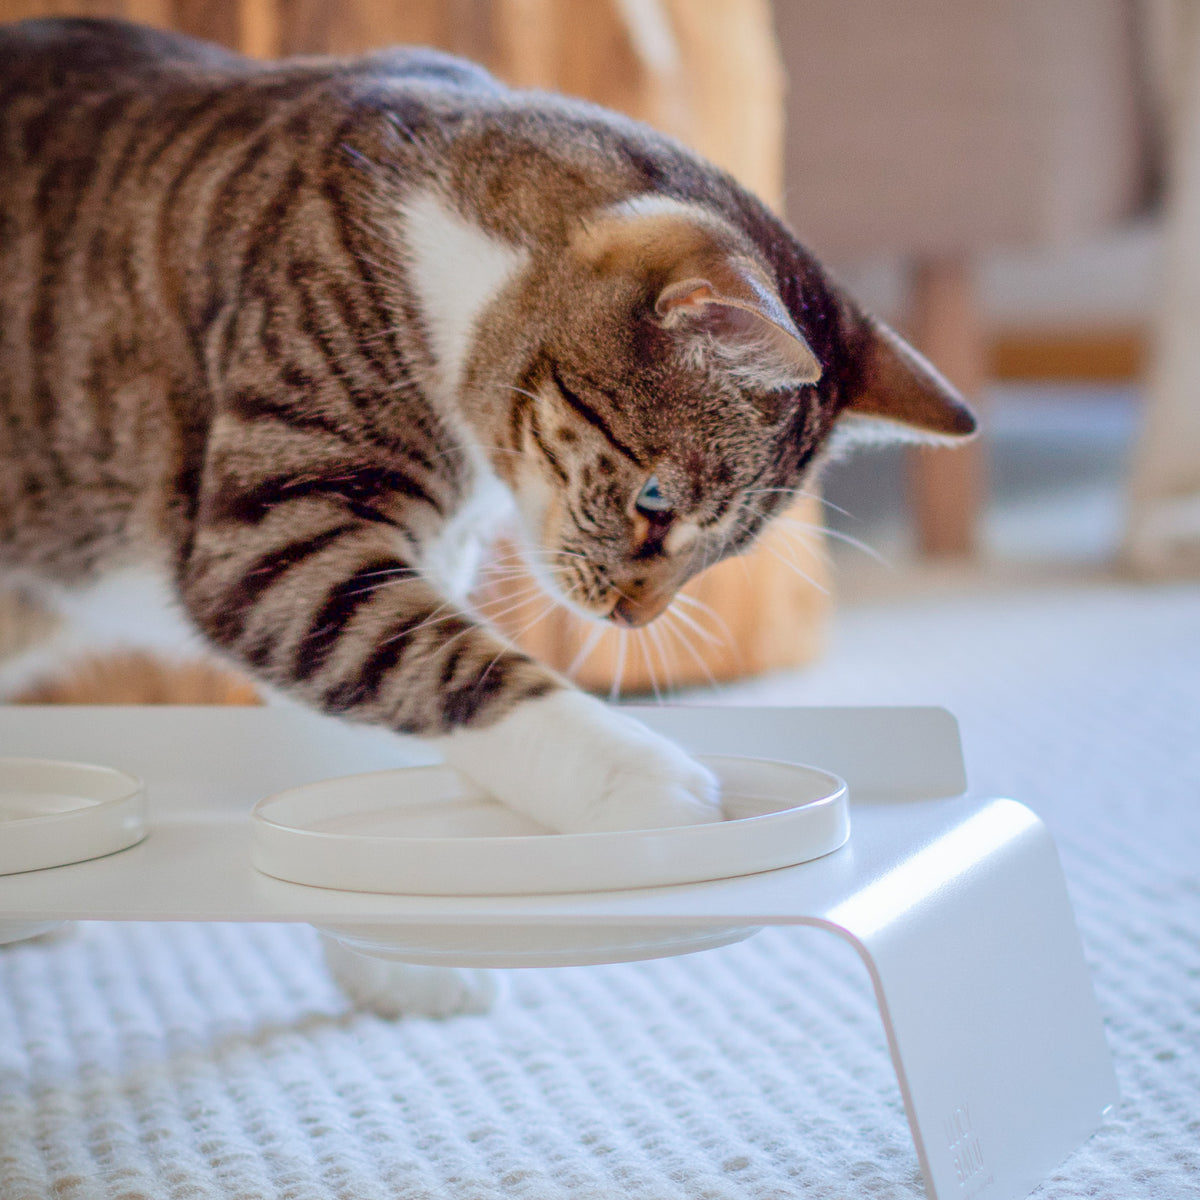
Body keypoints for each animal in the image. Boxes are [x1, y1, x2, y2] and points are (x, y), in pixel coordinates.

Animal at [2, 21, 974, 835]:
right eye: (655, 501)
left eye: (725, 551)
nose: (633, 616)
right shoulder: (274, 534)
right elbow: (426, 651)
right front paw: (641, 780)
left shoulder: (430, 543)